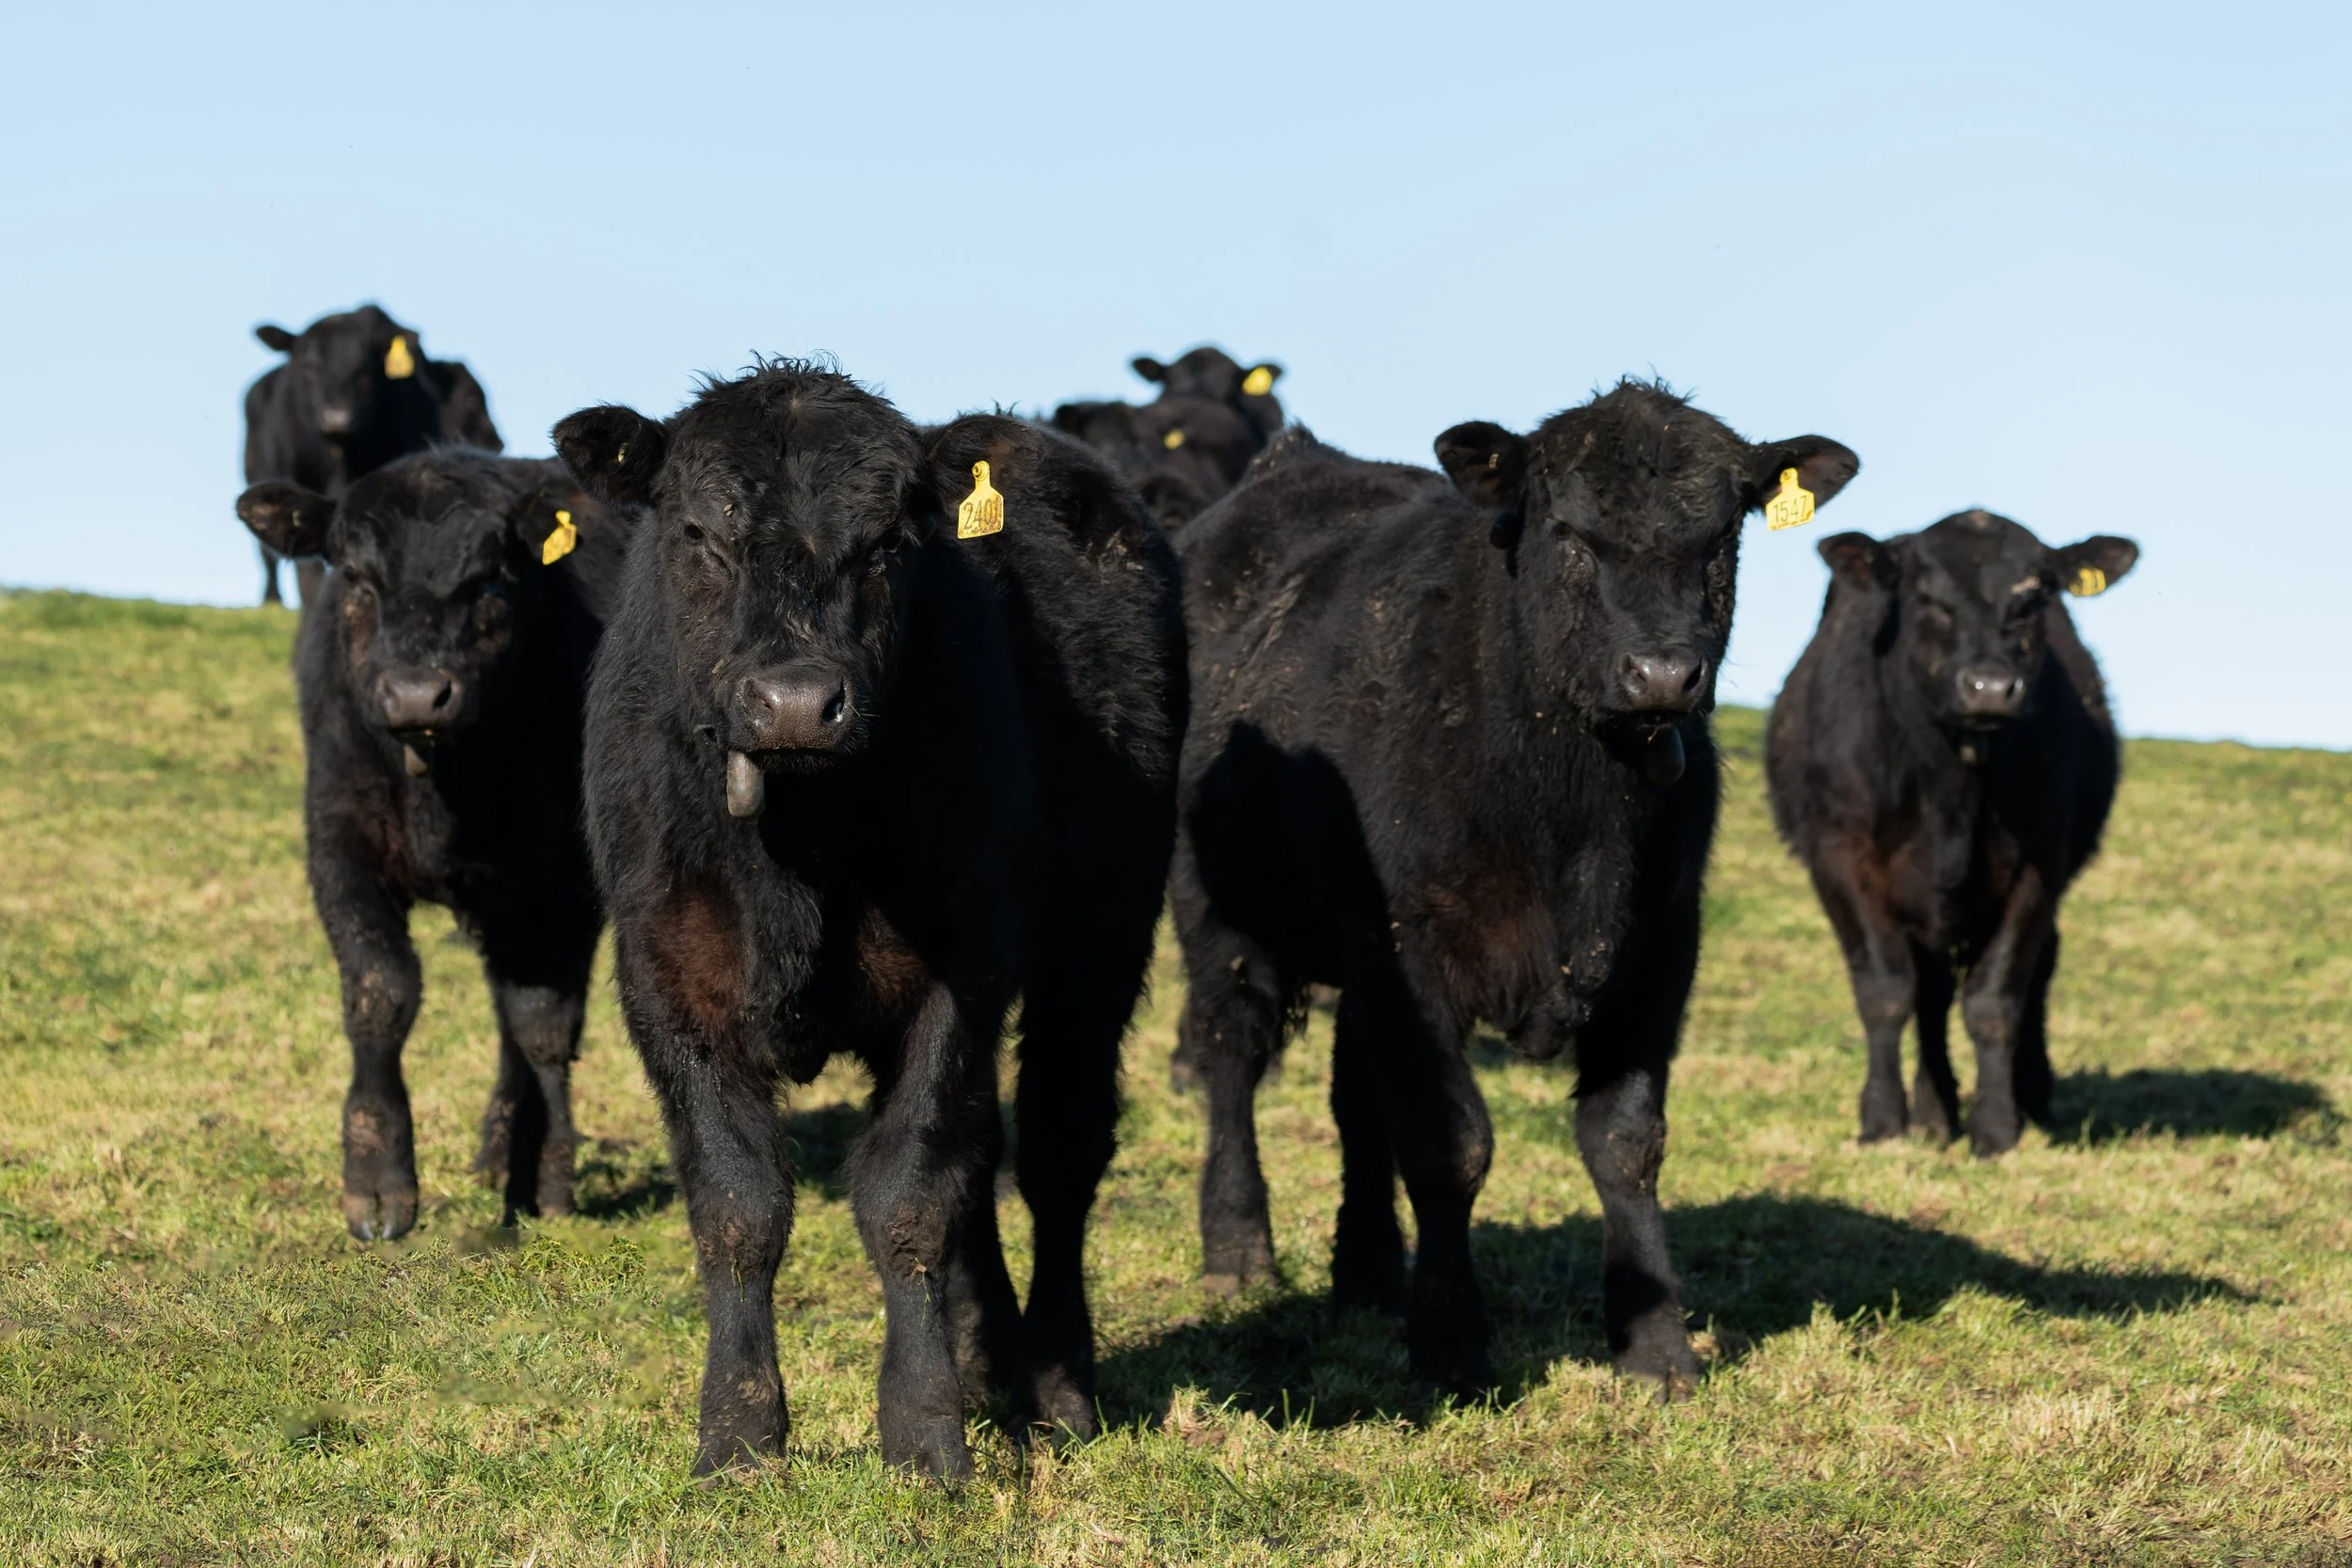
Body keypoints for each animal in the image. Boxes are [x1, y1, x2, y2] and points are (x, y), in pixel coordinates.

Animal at [232, 452, 630, 1241]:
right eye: (356, 575)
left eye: (489, 578)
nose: (417, 695)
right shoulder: (338, 843)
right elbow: (381, 992)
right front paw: (376, 1179)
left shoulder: (563, 884)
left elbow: (545, 1027)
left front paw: (549, 1171)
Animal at [551, 361, 1187, 1481]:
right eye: (697, 532)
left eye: (891, 542)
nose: (797, 702)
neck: (796, 852)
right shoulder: (663, 977)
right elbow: (739, 1204)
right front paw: (739, 1436)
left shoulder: (960, 974)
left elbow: (907, 1199)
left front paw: (927, 1435)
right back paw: (989, 1357)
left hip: (1102, 944)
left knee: (1057, 1154)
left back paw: (1057, 1387)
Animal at [1172, 383, 1859, 1396]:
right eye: (1567, 530)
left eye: (1719, 535)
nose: (1663, 673)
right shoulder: (1415, 950)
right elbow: (1450, 1142)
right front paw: (1452, 1343)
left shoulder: (1661, 944)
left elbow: (1625, 1140)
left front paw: (1656, 1347)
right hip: (1218, 914)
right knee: (1230, 1058)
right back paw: (1237, 1248)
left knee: (1352, 1100)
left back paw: (1366, 1274)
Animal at [1765, 510, 2139, 1155]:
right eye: (1928, 598)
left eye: (2033, 598)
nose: (1989, 687)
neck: (1950, 791)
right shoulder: (1840, 858)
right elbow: (1886, 992)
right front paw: (1883, 1120)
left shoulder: (2038, 866)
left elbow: (1995, 999)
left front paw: (1996, 1128)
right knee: (1930, 991)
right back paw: (1934, 1111)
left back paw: (2026, 1095)